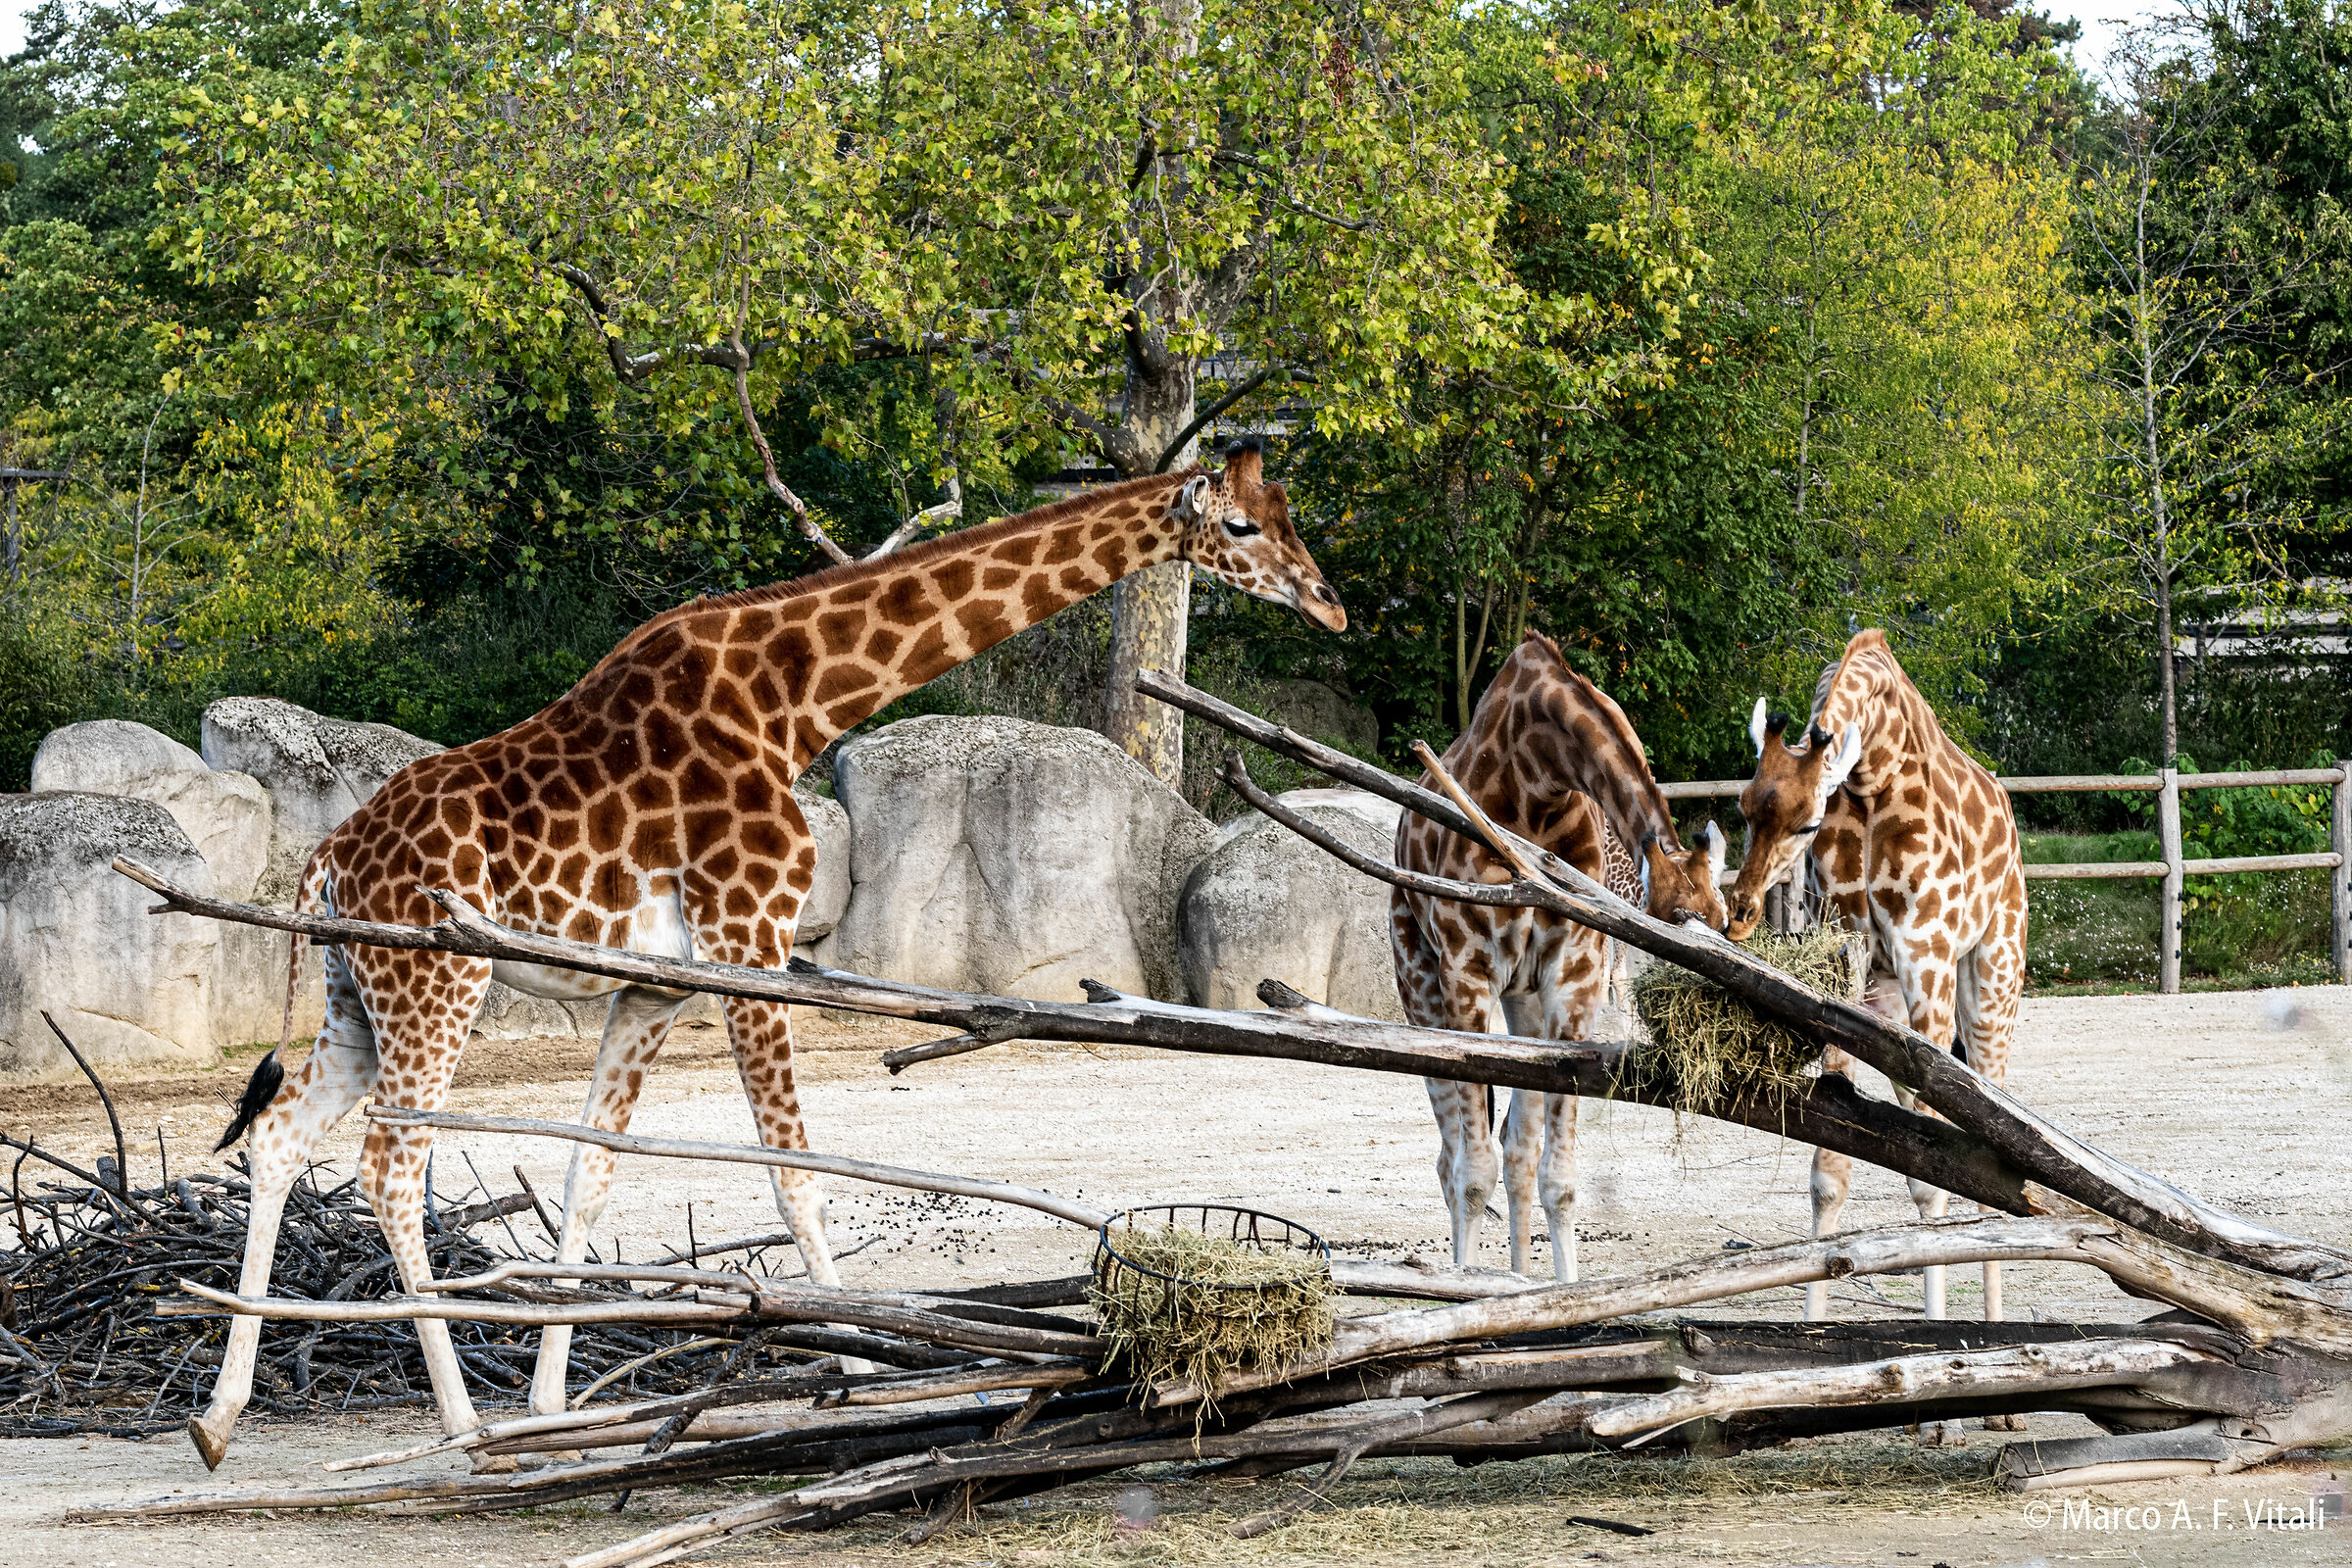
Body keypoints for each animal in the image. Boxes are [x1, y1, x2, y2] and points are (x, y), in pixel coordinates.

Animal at [189, 441, 1344, 1469]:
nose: (1331, 606)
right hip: (436, 980)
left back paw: (220, 1418)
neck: (794, 701)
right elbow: (797, 1173)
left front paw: (554, 1405)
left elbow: (589, 1174)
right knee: (391, 1166)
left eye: (1290, 514)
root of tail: (327, 861)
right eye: (1244, 527)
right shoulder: (750, 936)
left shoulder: (654, 986)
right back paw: (461, 1425)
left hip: (354, 992)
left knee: (281, 1138)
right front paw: (869, 1368)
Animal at [1391, 632, 1729, 1281]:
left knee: (1516, 1149)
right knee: (1451, 1160)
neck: (1538, 782)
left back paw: (1520, 1278)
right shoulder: (1467, 971)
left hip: (1522, 1001)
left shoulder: (1572, 979)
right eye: (1673, 921)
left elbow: (1558, 1177)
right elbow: (1473, 1173)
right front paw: (1464, 1291)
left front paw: (1561, 1293)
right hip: (1418, 979)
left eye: (1727, 924)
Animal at [1724, 628, 2027, 1332]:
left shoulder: (1928, 956)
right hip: (1888, 1001)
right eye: (1743, 808)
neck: (1872, 780)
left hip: (1992, 976)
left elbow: (1934, 1178)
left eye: (1808, 821)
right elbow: (1830, 1168)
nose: (1742, 910)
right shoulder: (1849, 956)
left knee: (1991, 1128)